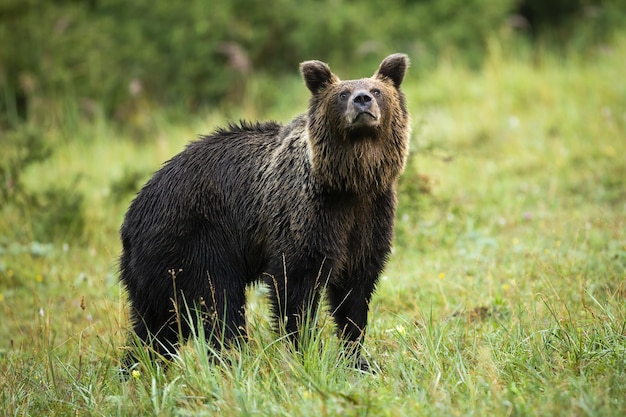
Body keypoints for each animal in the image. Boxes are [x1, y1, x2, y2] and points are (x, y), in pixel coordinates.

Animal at [118, 53, 410, 368]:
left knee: (155, 324)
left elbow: (355, 292)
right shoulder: (308, 215)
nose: (362, 100)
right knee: (218, 305)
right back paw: (233, 359)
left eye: (377, 90)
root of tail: (132, 214)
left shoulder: (369, 217)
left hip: (158, 265)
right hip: (196, 242)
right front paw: (304, 350)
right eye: (342, 94)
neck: (351, 184)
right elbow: (295, 286)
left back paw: (138, 365)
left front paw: (358, 358)